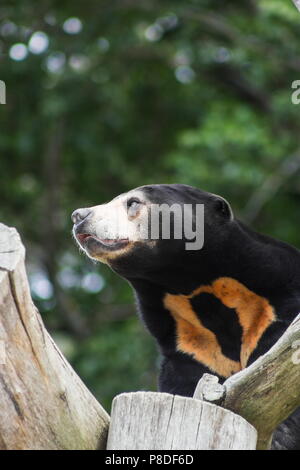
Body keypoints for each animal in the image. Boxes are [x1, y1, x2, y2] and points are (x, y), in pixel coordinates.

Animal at [71, 183, 298, 448]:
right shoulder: (190, 343)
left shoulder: (276, 305)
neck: (190, 283)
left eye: (133, 203)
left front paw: (281, 437)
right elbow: (183, 381)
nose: (78, 216)